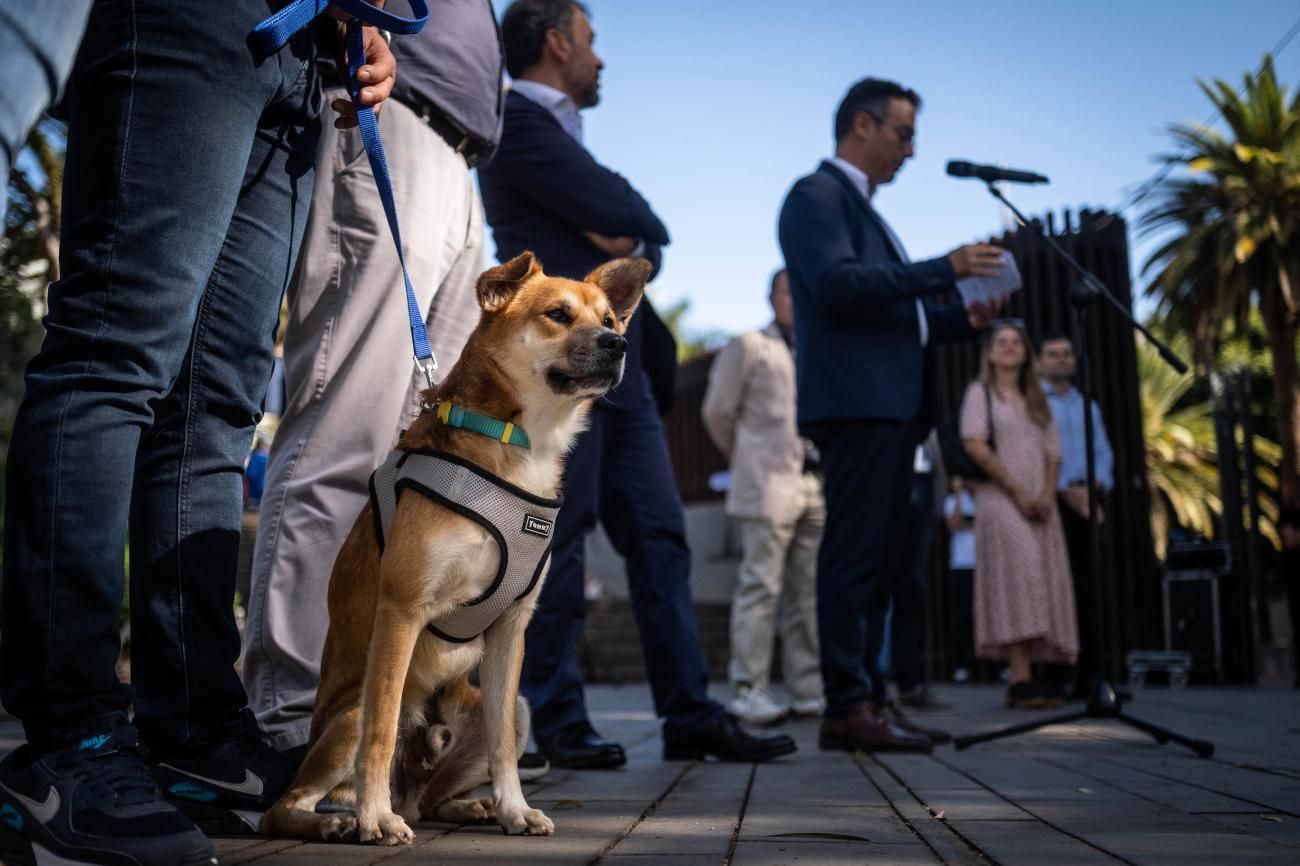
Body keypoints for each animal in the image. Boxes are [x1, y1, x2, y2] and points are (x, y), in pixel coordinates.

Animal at [261, 250, 647, 842]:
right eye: (558, 315)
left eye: (609, 320)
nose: (618, 345)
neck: (520, 441)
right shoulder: (401, 610)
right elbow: (379, 732)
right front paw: (374, 818)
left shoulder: (511, 628)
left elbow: (504, 744)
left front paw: (514, 808)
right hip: (346, 721)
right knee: (285, 804)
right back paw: (341, 821)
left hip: (509, 710)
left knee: (434, 797)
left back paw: (472, 806)